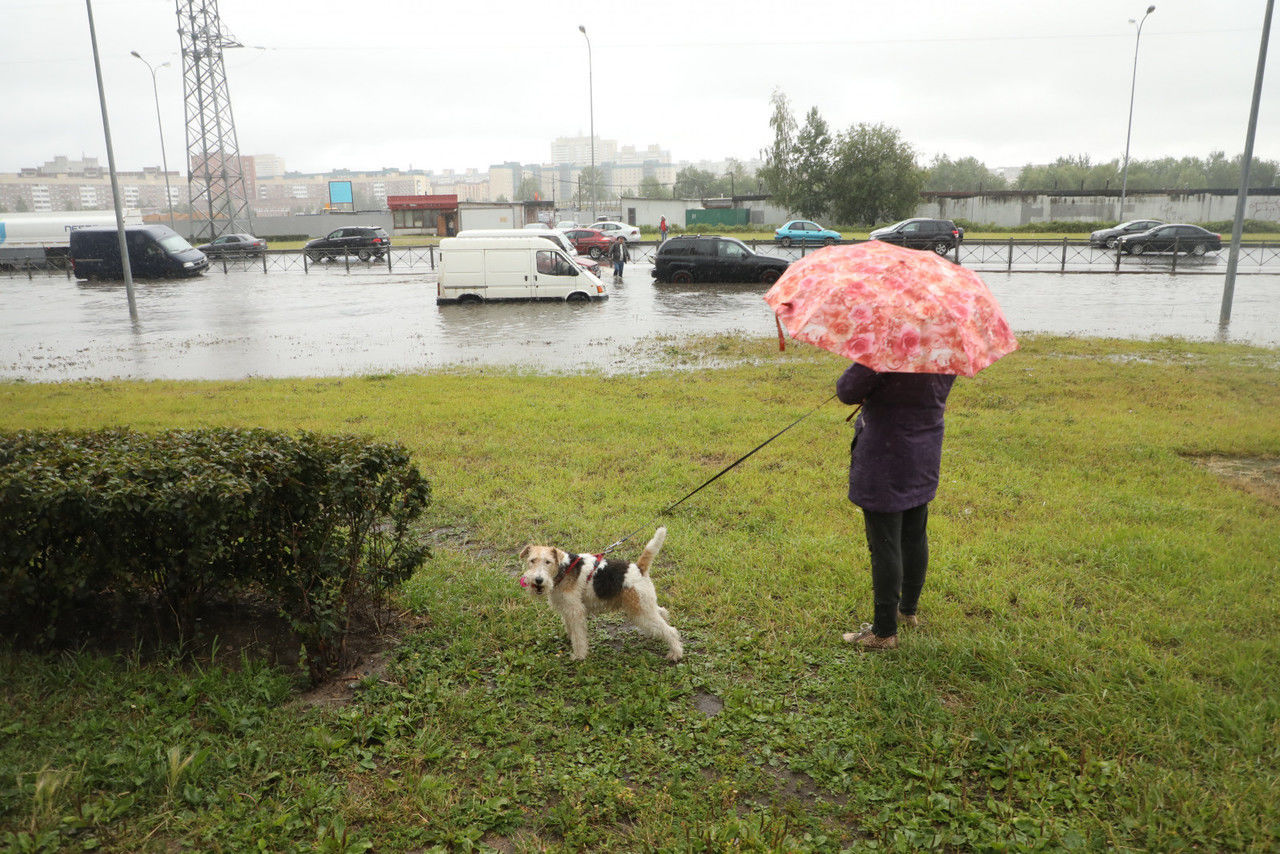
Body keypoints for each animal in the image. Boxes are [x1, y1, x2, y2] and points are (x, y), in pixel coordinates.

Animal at [517, 527, 686, 660]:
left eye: (548, 562)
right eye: (532, 560)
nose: (538, 580)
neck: (563, 569)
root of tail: (639, 568)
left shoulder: (575, 610)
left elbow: (579, 635)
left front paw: (579, 655)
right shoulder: (566, 608)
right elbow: (571, 629)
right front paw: (570, 640)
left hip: (640, 610)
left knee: (670, 630)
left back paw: (675, 653)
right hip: (645, 604)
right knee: (662, 613)